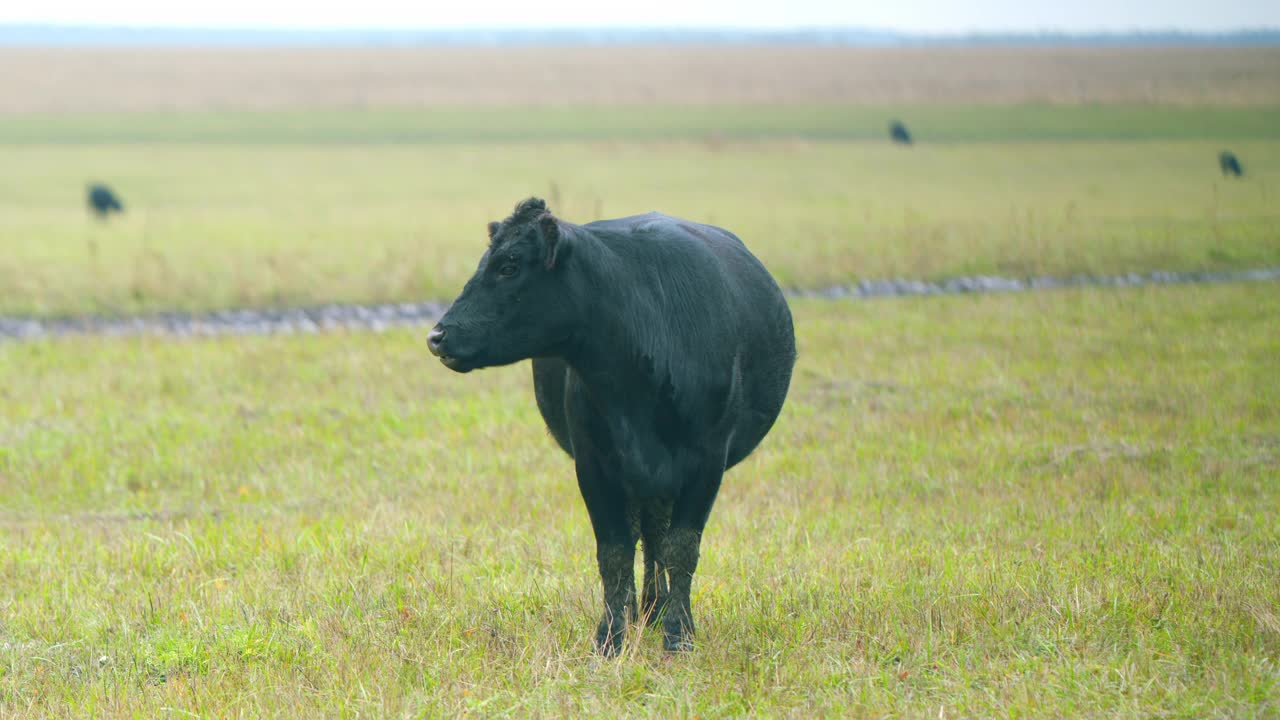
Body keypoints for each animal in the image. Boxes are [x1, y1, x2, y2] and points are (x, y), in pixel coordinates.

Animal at [430, 198, 793, 653]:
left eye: (509, 266)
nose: (438, 335)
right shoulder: (593, 464)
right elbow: (614, 552)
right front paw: (610, 637)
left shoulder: (707, 460)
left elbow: (682, 548)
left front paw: (680, 635)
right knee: (646, 534)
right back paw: (645, 611)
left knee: (659, 538)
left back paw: (658, 611)